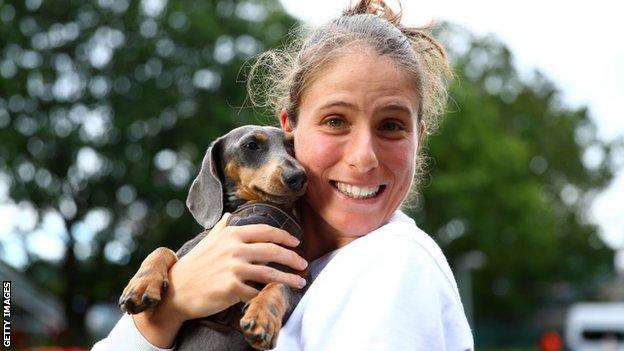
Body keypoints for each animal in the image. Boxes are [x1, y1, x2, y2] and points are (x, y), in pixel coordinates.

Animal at [117, 125, 308, 350]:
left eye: (291, 146)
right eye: (251, 145)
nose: (298, 176)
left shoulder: (298, 283)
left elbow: (278, 286)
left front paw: (261, 317)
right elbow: (163, 250)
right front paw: (140, 285)